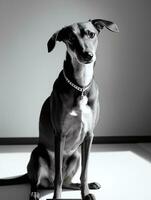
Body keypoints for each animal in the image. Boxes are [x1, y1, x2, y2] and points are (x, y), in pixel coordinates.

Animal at [0, 19, 118, 200]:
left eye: (91, 34)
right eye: (71, 38)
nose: (88, 55)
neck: (80, 86)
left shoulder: (89, 135)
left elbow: (84, 172)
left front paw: (86, 193)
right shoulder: (60, 135)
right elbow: (59, 177)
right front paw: (57, 197)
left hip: (76, 155)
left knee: (69, 182)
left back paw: (87, 185)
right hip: (37, 154)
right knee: (37, 181)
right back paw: (35, 192)